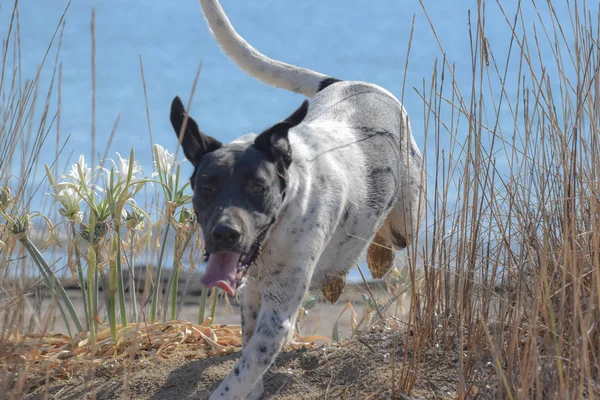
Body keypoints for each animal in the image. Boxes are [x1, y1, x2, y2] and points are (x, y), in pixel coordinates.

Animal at [169, 1, 426, 398]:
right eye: (206, 187)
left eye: (258, 187)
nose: (225, 234)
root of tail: (346, 82)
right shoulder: (252, 296)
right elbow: (247, 356)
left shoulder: (278, 315)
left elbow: (237, 376)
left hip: (406, 217)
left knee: (391, 238)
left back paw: (378, 257)